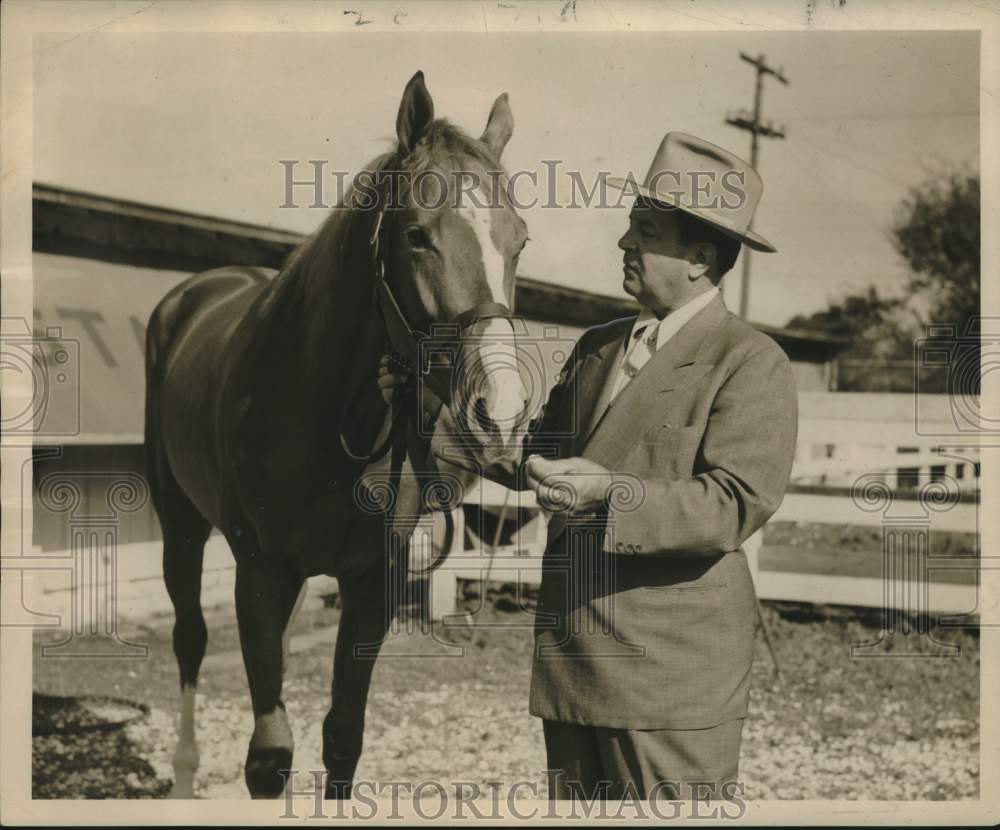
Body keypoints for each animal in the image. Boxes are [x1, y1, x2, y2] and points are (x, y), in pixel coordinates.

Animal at [145, 75, 532, 804]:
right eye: (416, 235)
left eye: (518, 240)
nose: (500, 414)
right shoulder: (259, 572)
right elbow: (269, 756)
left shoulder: (371, 582)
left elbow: (342, 739)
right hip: (179, 523)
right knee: (189, 639)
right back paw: (183, 773)